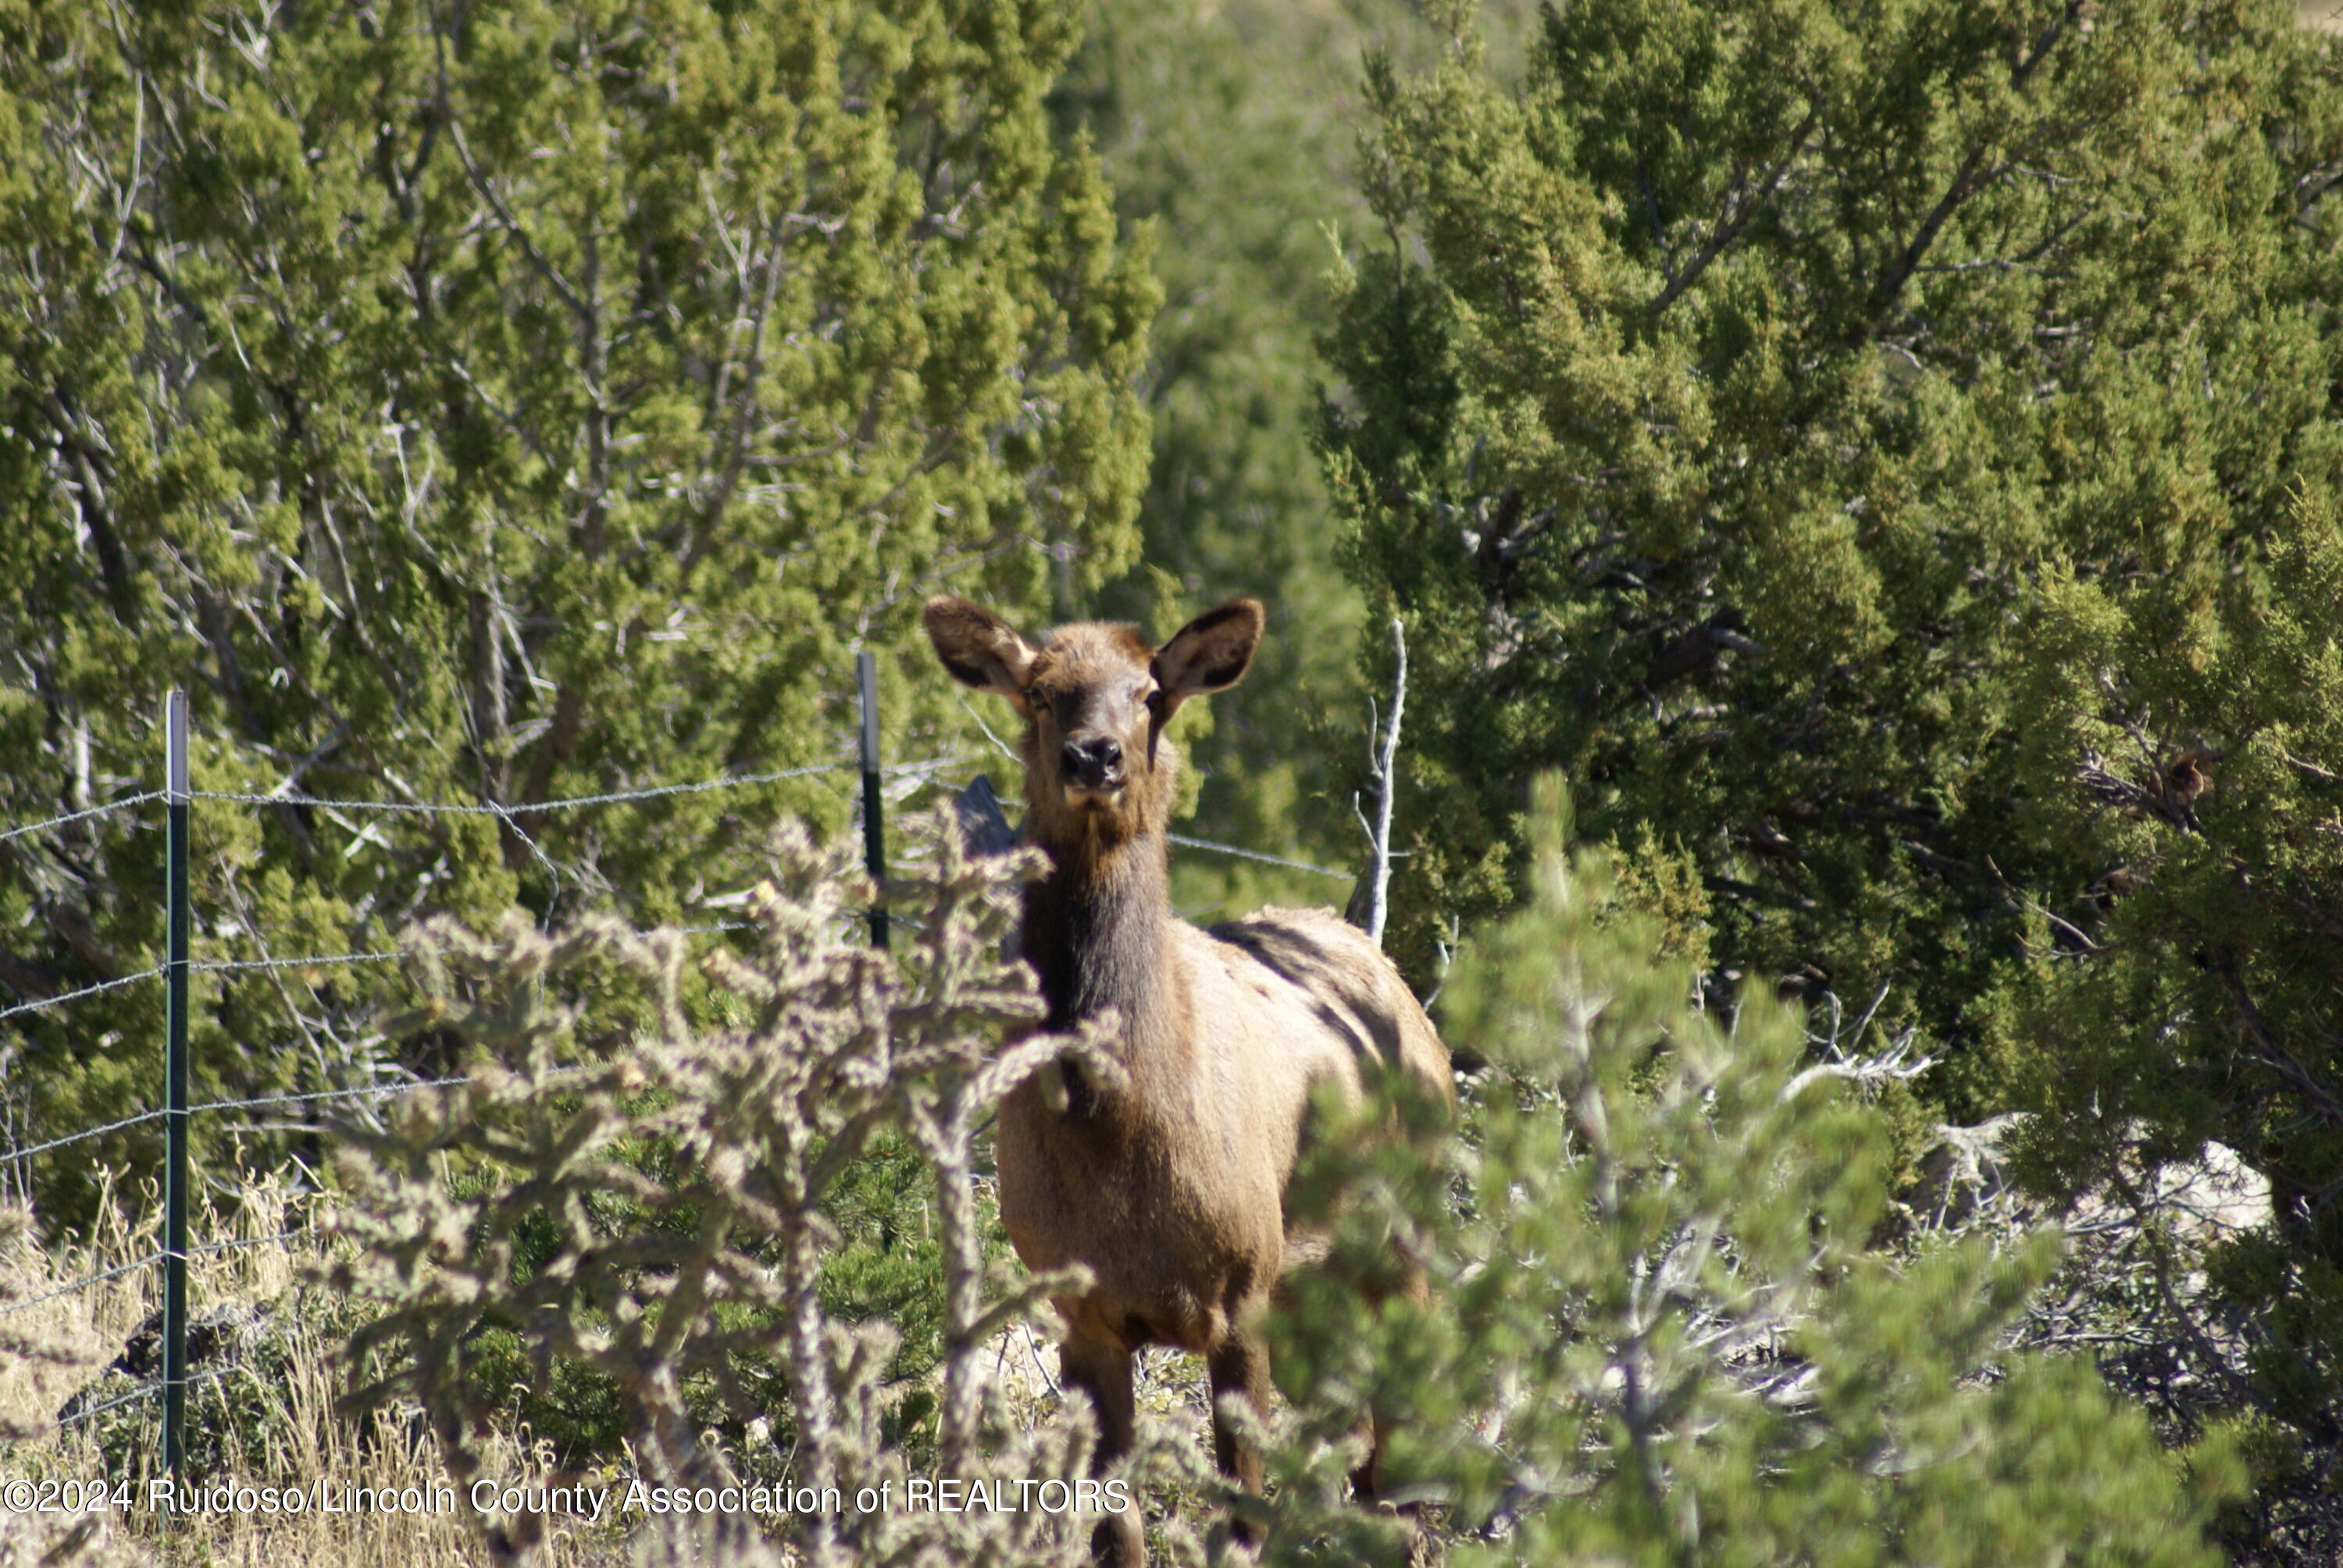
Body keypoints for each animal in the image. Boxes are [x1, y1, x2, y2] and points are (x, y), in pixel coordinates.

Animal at [918, 593, 1443, 1556]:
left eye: (1150, 692)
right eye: (1040, 692)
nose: (1094, 755)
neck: (1118, 1133)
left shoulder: (1241, 1293)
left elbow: (1239, 1523)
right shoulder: (1081, 1311)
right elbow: (1113, 1530)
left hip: (1402, 1234)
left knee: (1405, 1461)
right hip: (1316, 1284)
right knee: (1364, 1461)